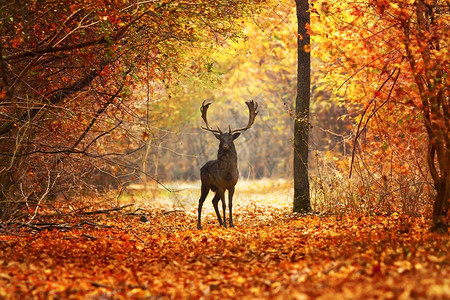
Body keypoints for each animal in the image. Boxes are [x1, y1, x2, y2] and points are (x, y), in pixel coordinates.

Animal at [196, 101, 256, 230]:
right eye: (221, 139)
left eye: (231, 138)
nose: (225, 146)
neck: (227, 175)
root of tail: (202, 166)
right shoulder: (220, 185)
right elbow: (224, 204)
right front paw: (226, 224)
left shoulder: (232, 186)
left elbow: (230, 204)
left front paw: (231, 224)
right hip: (205, 183)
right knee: (201, 201)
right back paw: (199, 225)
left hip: (214, 188)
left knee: (213, 201)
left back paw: (220, 222)